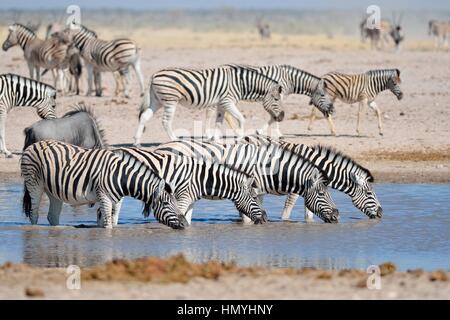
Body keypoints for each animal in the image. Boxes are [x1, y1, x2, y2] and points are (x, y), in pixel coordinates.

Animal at [20, 141, 186, 229]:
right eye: (166, 203)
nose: (185, 223)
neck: (121, 176)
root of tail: (33, 144)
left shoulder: (116, 200)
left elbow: (111, 220)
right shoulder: (104, 196)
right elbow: (107, 224)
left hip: (53, 190)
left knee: (52, 216)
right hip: (34, 183)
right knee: (34, 213)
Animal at [111, 148, 268, 225]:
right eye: (255, 197)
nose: (265, 219)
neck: (201, 179)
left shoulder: (191, 200)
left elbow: (188, 220)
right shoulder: (182, 198)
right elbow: (179, 215)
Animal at [133, 63, 284, 144]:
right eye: (277, 99)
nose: (282, 117)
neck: (241, 84)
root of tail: (154, 74)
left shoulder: (221, 104)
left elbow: (219, 122)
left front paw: (215, 140)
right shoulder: (227, 101)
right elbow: (241, 118)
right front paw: (240, 137)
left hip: (157, 100)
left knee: (144, 116)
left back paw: (137, 141)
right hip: (170, 100)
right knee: (165, 121)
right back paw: (175, 139)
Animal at [156, 139, 340, 224]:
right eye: (322, 194)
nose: (337, 216)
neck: (267, 167)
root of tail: (160, 147)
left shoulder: (255, 193)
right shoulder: (251, 191)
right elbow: (248, 217)